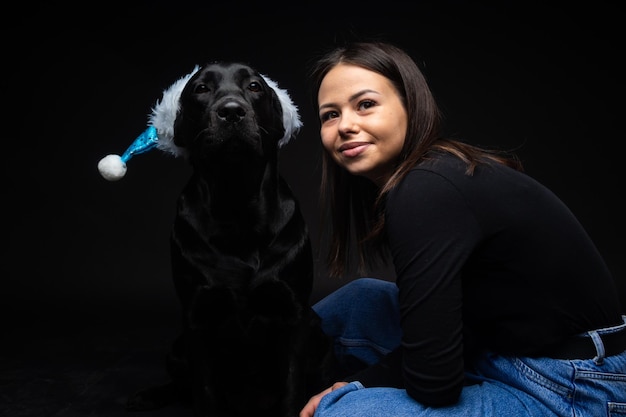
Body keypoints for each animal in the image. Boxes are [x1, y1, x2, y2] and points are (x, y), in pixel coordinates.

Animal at [123, 62, 334, 416]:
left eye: (254, 86)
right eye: (201, 88)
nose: (232, 111)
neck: (237, 204)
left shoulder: (294, 314)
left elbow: (292, 387)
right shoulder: (197, 317)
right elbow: (204, 389)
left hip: (318, 330)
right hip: (177, 347)